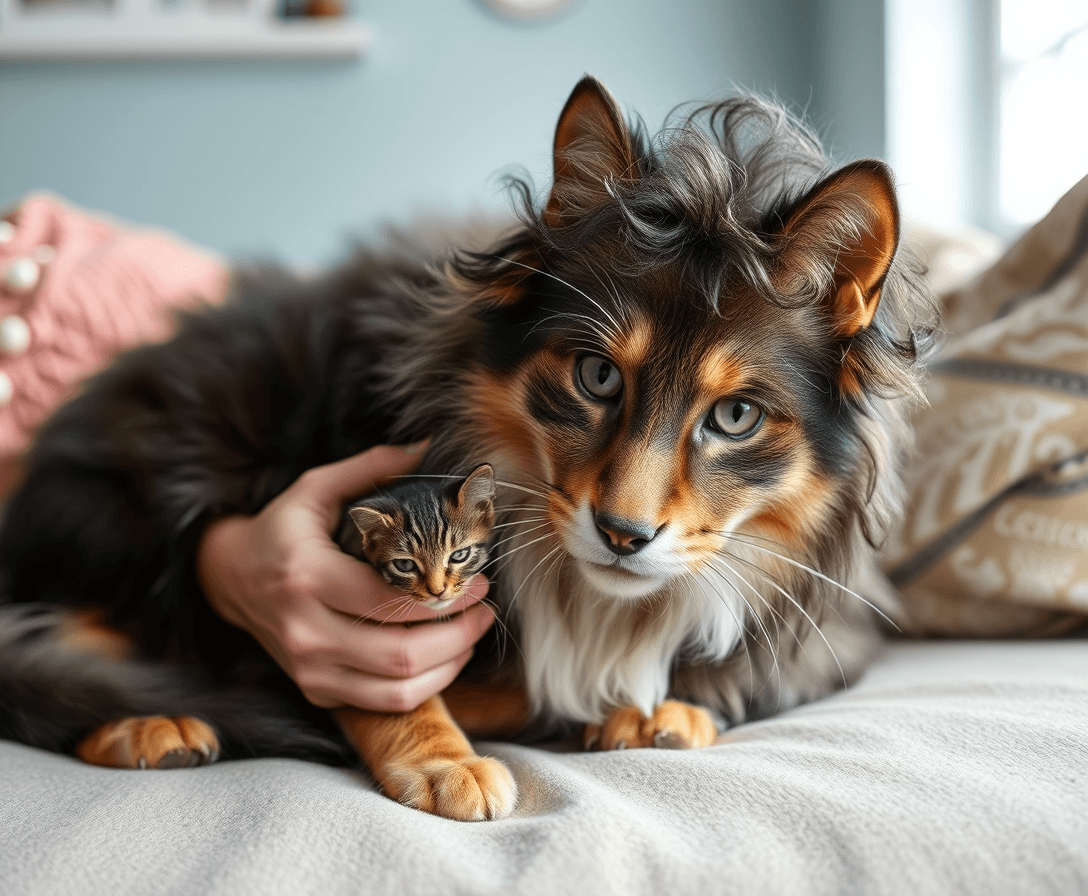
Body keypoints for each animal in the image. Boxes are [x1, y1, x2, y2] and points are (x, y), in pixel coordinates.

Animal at [0, 78, 935, 817]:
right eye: (597, 375)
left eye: (735, 418)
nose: (623, 536)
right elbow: (387, 685)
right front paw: (449, 761)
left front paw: (658, 710)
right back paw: (149, 723)